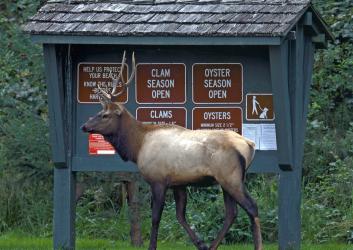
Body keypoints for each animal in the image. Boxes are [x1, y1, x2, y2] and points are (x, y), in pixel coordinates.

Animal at [80, 51, 262, 250]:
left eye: (105, 115)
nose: (84, 126)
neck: (137, 145)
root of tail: (250, 145)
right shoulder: (178, 183)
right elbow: (180, 215)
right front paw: (200, 243)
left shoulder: (158, 180)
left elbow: (155, 218)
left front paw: (152, 246)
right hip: (226, 180)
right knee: (232, 213)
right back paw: (211, 246)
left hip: (230, 177)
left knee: (252, 207)